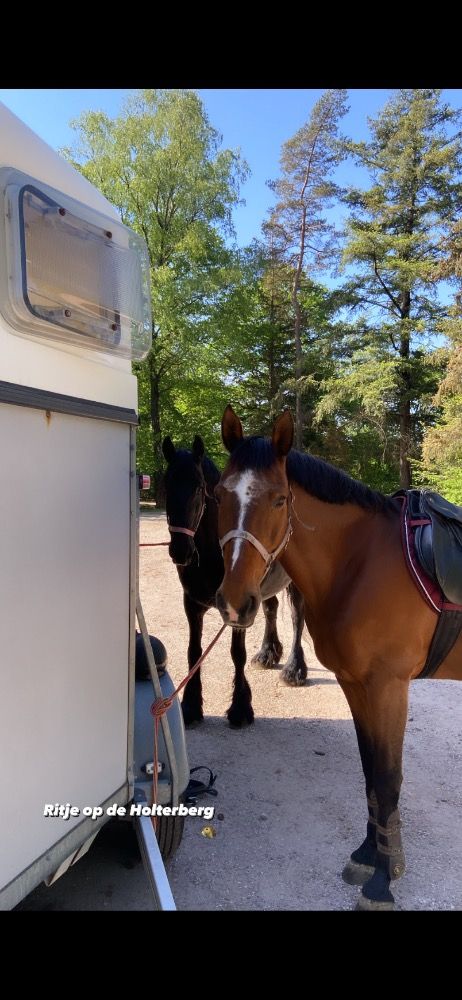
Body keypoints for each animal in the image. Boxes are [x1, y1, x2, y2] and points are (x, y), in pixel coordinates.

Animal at [162, 433, 307, 727]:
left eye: (198, 487)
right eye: (167, 485)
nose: (180, 551)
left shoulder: (237, 607)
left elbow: (236, 653)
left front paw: (240, 707)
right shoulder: (191, 605)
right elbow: (194, 651)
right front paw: (191, 705)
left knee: (297, 616)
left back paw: (294, 669)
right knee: (271, 608)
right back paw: (268, 653)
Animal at [214, 405, 462, 909]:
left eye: (279, 500)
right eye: (219, 495)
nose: (234, 604)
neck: (360, 562)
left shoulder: (388, 688)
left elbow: (387, 778)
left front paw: (383, 882)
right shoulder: (355, 684)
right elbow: (369, 772)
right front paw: (371, 855)